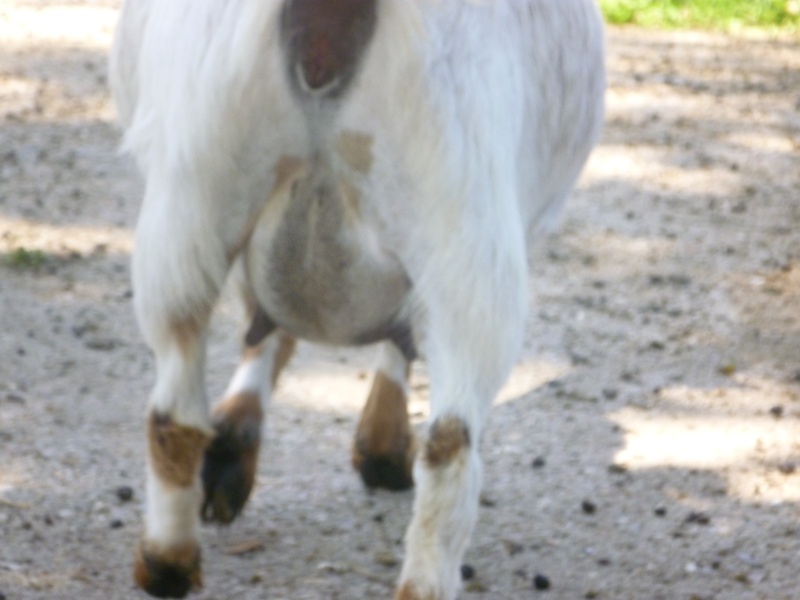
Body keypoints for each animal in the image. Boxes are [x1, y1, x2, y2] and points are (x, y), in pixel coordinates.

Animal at [109, 2, 604, 596]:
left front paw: (232, 448)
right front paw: (382, 451)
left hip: (191, 198)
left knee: (174, 401)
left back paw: (167, 560)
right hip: (466, 222)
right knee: (451, 449)